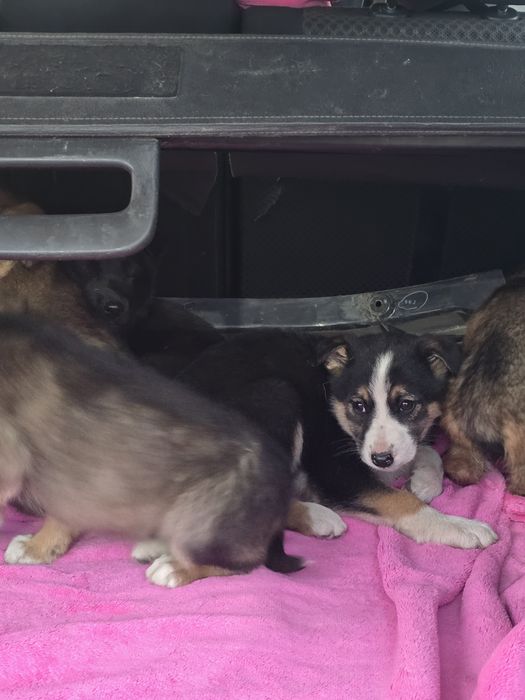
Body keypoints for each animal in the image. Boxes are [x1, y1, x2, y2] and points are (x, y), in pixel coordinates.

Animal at [176, 328, 497, 549]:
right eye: (359, 405)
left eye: (406, 404)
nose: (381, 459)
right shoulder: (335, 470)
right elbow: (398, 499)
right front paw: (459, 527)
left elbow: (425, 451)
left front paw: (424, 482)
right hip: (275, 394)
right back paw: (318, 517)